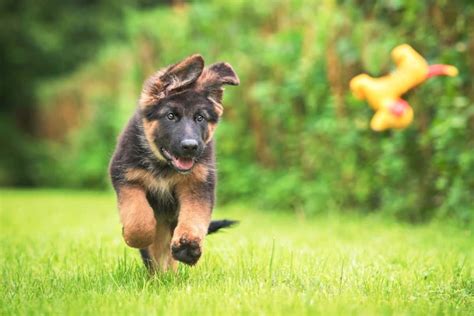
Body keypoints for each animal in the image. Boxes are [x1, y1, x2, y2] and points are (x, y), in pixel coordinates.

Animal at [109, 54, 239, 272]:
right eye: (171, 116)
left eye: (200, 118)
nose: (190, 147)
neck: (164, 167)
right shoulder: (126, 178)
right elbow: (138, 218)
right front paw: (136, 236)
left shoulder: (198, 185)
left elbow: (194, 216)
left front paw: (188, 246)